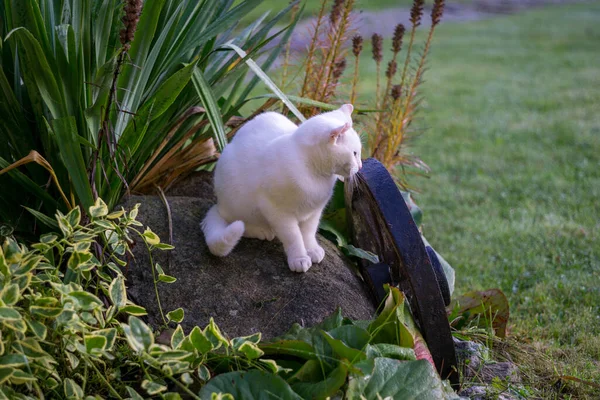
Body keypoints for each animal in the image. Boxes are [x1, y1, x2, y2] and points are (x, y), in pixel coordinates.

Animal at [202, 104, 360, 272]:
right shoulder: (277, 212)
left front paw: (312, 250)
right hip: (241, 204)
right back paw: (262, 230)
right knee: (240, 223)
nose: (361, 166)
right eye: (355, 153)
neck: (315, 176)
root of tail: (218, 206)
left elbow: (309, 233)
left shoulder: (314, 212)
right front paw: (299, 258)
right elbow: (294, 237)